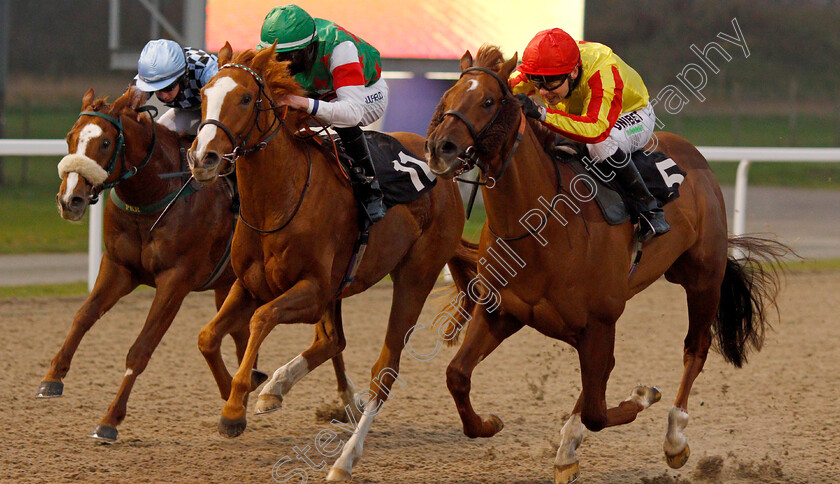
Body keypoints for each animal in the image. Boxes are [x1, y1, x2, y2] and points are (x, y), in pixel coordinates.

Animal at [43, 87, 352, 442]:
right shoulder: (120, 267)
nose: (70, 200)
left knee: (326, 339)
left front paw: (110, 420)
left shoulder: (175, 281)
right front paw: (52, 377)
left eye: (105, 142)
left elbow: (141, 348)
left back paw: (342, 401)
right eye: (70, 137)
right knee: (244, 334)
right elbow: (84, 315)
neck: (155, 194)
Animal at [191, 44, 480, 480]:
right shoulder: (250, 284)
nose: (202, 158)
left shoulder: (312, 290)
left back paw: (345, 459)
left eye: (244, 98)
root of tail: (442, 174)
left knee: (384, 368)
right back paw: (275, 389)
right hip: (344, 286)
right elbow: (208, 335)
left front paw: (233, 409)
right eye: (204, 94)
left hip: (416, 274)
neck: (278, 200)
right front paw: (240, 395)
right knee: (333, 340)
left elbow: (262, 319)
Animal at [426, 46, 788, 484]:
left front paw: (642, 396)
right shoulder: (503, 312)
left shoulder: (598, 321)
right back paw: (570, 448)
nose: (439, 148)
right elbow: (457, 376)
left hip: (703, 278)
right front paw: (489, 423)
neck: (536, 227)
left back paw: (675, 438)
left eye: (488, 101)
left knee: (694, 350)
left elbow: (599, 412)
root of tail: (694, 155)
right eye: (448, 96)